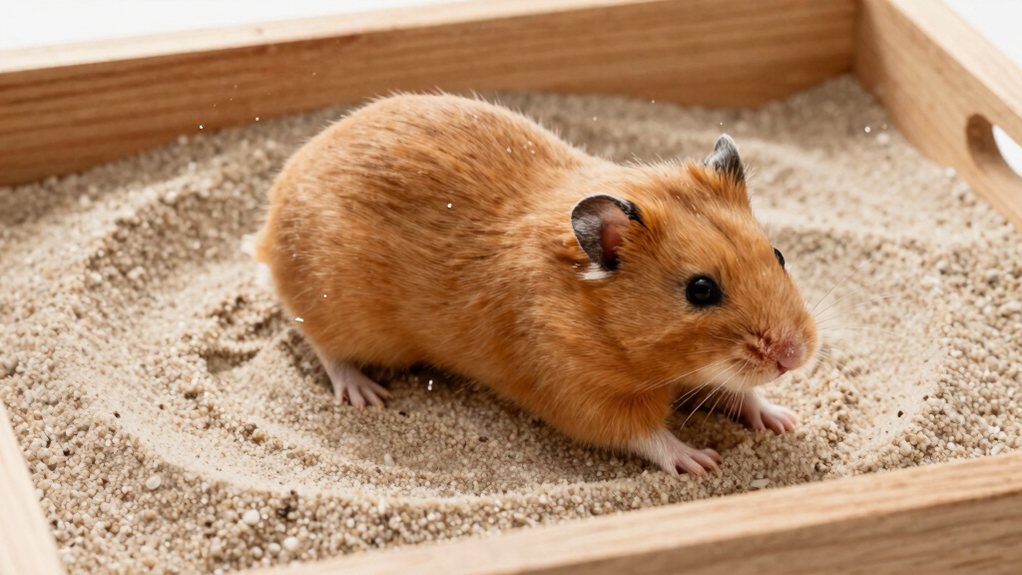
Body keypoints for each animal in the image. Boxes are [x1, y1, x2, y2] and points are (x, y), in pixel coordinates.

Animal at [255, 94, 818, 475]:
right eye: (700, 290)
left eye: (778, 255)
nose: (794, 356)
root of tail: (270, 223)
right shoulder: (582, 397)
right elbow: (647, 436)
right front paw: (700, 461)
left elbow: (737, 393)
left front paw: (785, 419)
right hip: (342, 316)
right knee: (324, 347)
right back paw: (365, 394)